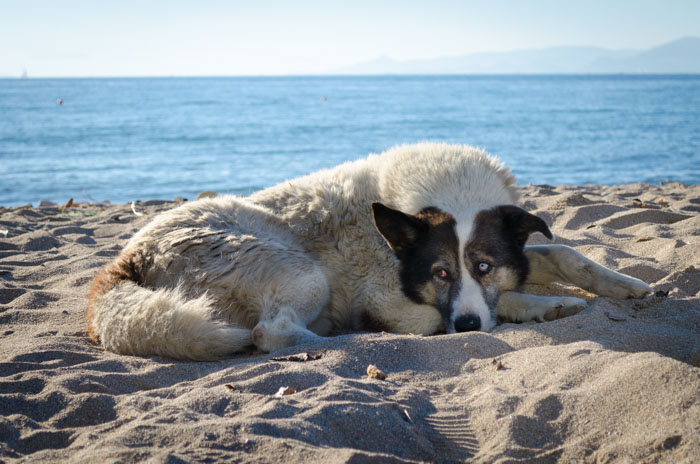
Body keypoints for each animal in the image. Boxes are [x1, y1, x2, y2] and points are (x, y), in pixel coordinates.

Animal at [86, 143, 651, 360]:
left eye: (484, 265)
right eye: (439, 273)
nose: (467, 326)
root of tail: (124, 260)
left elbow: (564, 253)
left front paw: (626, 285)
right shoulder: (394, 297)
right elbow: (483, 307)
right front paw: (547, 305)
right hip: (304, 273)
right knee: (270, 332)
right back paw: (349, 338)